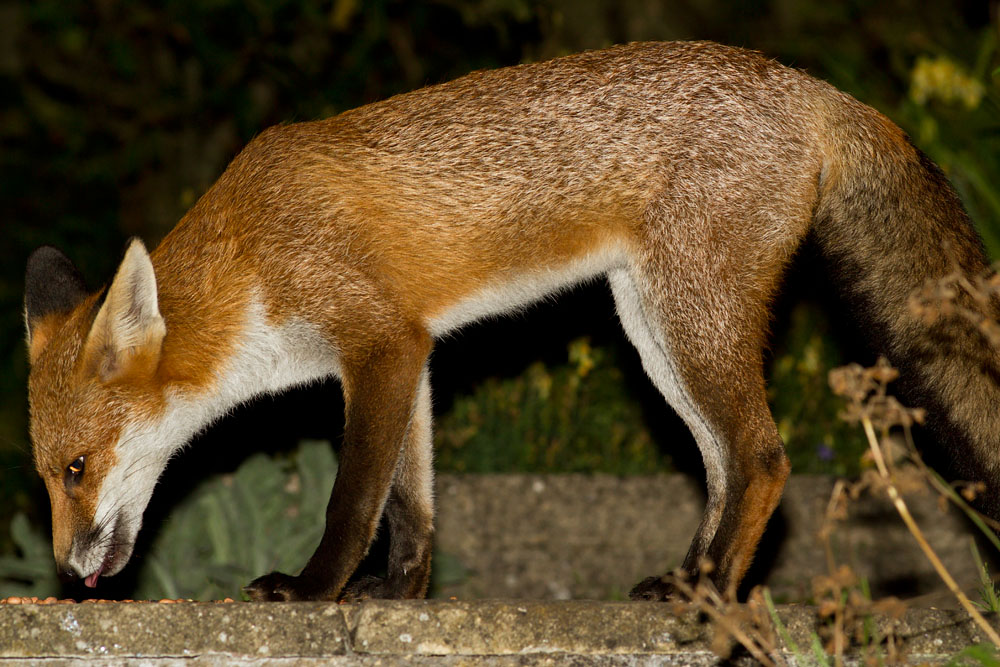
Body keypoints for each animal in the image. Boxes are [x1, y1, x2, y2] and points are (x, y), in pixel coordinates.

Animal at [23, 40, 1000, 602]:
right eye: (44, 478)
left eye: (77, 469)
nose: (67, 572)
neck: (254, 258)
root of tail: (808, 85)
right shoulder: (408, 354)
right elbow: (412, 503)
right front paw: (399, 594)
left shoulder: (378, 341)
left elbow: (354, 498)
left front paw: (314, 590)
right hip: (655, 326)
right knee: (724, 463)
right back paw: (687, 576)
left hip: (688, 317)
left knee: (762, 456)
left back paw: (715, 591)